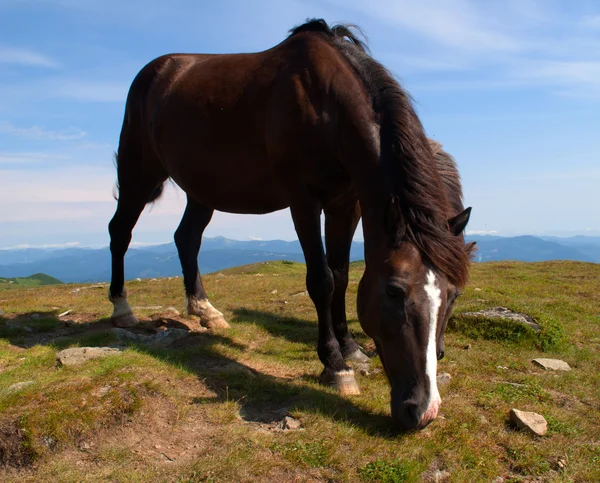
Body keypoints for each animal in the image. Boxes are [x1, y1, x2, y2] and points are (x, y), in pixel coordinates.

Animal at [108, 18, 474, 432]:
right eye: (394, 291)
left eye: (453, 296)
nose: (423, 411)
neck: (326, 106)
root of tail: (156, 71)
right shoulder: (303, 200)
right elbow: (322, 280)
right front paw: (335, 365)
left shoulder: (346, 204)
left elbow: (341, 276)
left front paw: (351, 349)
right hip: (139, 173)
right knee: (120, 232)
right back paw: (122, 310)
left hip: (201, 189)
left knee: (186, 238)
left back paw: (205, 310)